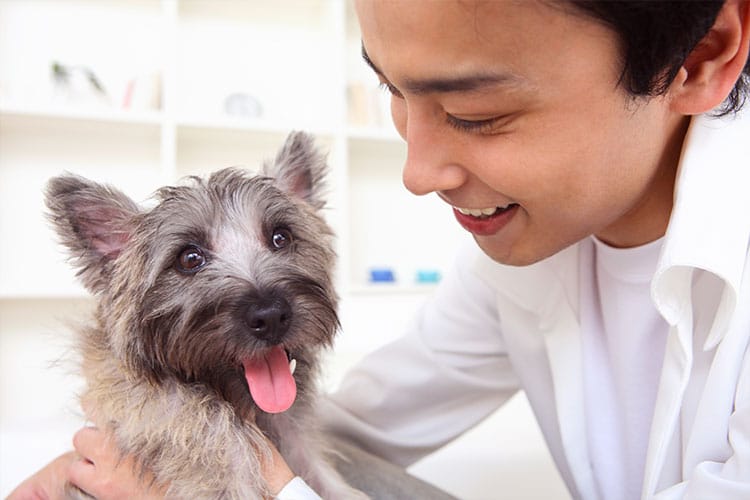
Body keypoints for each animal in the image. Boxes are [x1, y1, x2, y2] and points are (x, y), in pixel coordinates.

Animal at [45, 133, 368, 500]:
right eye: (190, 258)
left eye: (280, 237)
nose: (271, 316)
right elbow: (206, 427)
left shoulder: (293, 433)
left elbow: (315, 467)